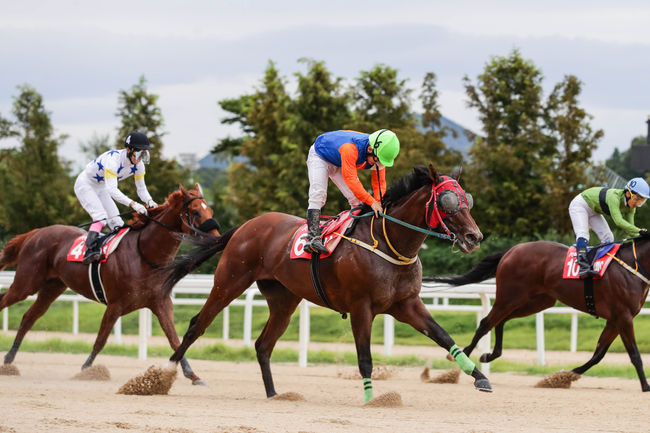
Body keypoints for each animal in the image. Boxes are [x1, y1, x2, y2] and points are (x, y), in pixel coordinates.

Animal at [0, 184, 220, 384]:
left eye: (210, 210)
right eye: (195, 211)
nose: (218, 240)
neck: (145, 254)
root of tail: (35, 233)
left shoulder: (161, 303)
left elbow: (174, 339)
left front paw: (192, 375)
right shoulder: (115, 305)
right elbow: (101, 339)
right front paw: (86, 369)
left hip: (52, 287)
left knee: (29, 317)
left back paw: (9, 359)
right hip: (26, 283)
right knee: (6, 301)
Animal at [159, 165, 488, 402]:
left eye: (467, 199)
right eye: (447, 201)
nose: (474, 236)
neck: (389, 242)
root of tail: (246, 226)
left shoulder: (406, 304)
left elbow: (443, 336)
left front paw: (480, 377)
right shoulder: (361, 307)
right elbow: (365, 357)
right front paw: (371, 398)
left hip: (284, 300)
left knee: (263, 344)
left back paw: (274, 394)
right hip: (229, 281)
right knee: (197, 324)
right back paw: (165, 373)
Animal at [428, 240, 648, 392]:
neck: (632, 267)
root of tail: (512, 250)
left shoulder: (615, 319)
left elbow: (598, 354)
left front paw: (563, 377)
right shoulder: (623, 316)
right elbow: (635, 355)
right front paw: (646, 386)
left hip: (538, 301)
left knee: (500, 321)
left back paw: (490, 354)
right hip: (510, 296)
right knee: (486, 322)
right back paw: (460, 355)